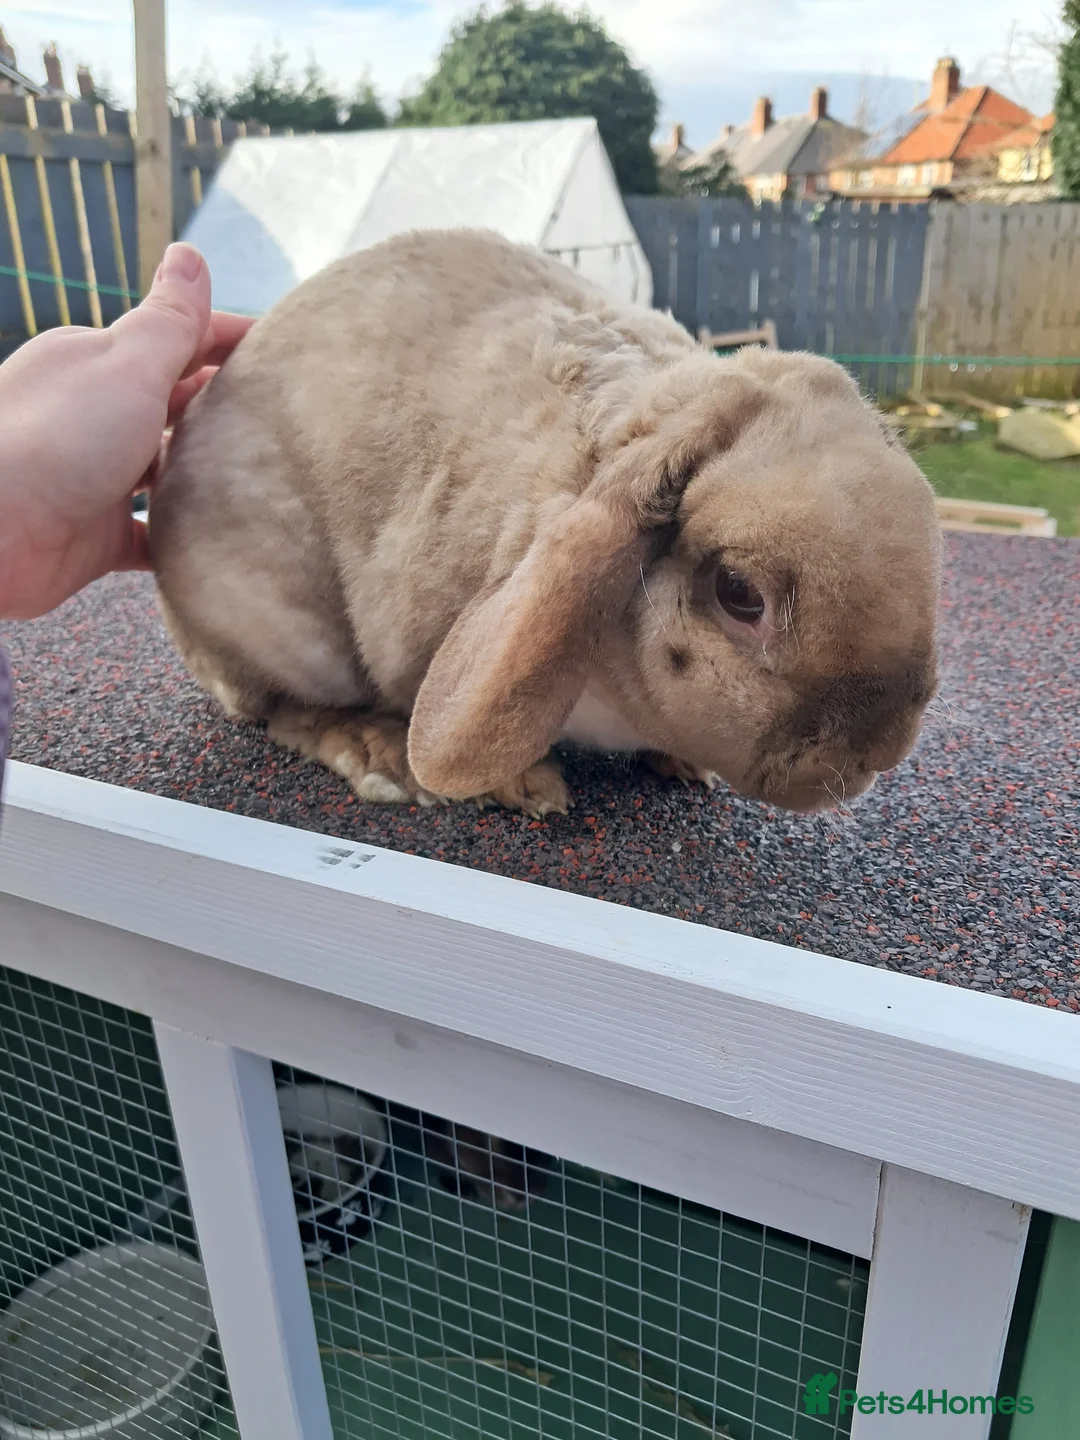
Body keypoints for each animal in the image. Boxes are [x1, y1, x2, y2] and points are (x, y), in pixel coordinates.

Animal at [149, 228, 942, 818]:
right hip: (277, 628)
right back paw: (377, 753)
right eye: (740, 594)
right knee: (281, 709)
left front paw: (683, 764)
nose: (873, 752)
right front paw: (525, 786)